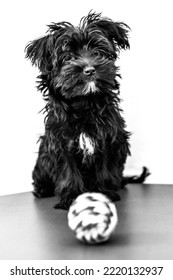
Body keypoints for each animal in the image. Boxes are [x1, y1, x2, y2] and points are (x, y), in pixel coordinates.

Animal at [25, 10, 149, 209]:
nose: (90, 69)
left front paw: (104, 193)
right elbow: (68, 171)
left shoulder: (110, 138)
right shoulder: (61, 142)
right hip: (42, 159)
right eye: (68, 57)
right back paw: (42, 189)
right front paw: (71, 196)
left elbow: (105, 167)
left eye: (98, 52)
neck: (84, 103)